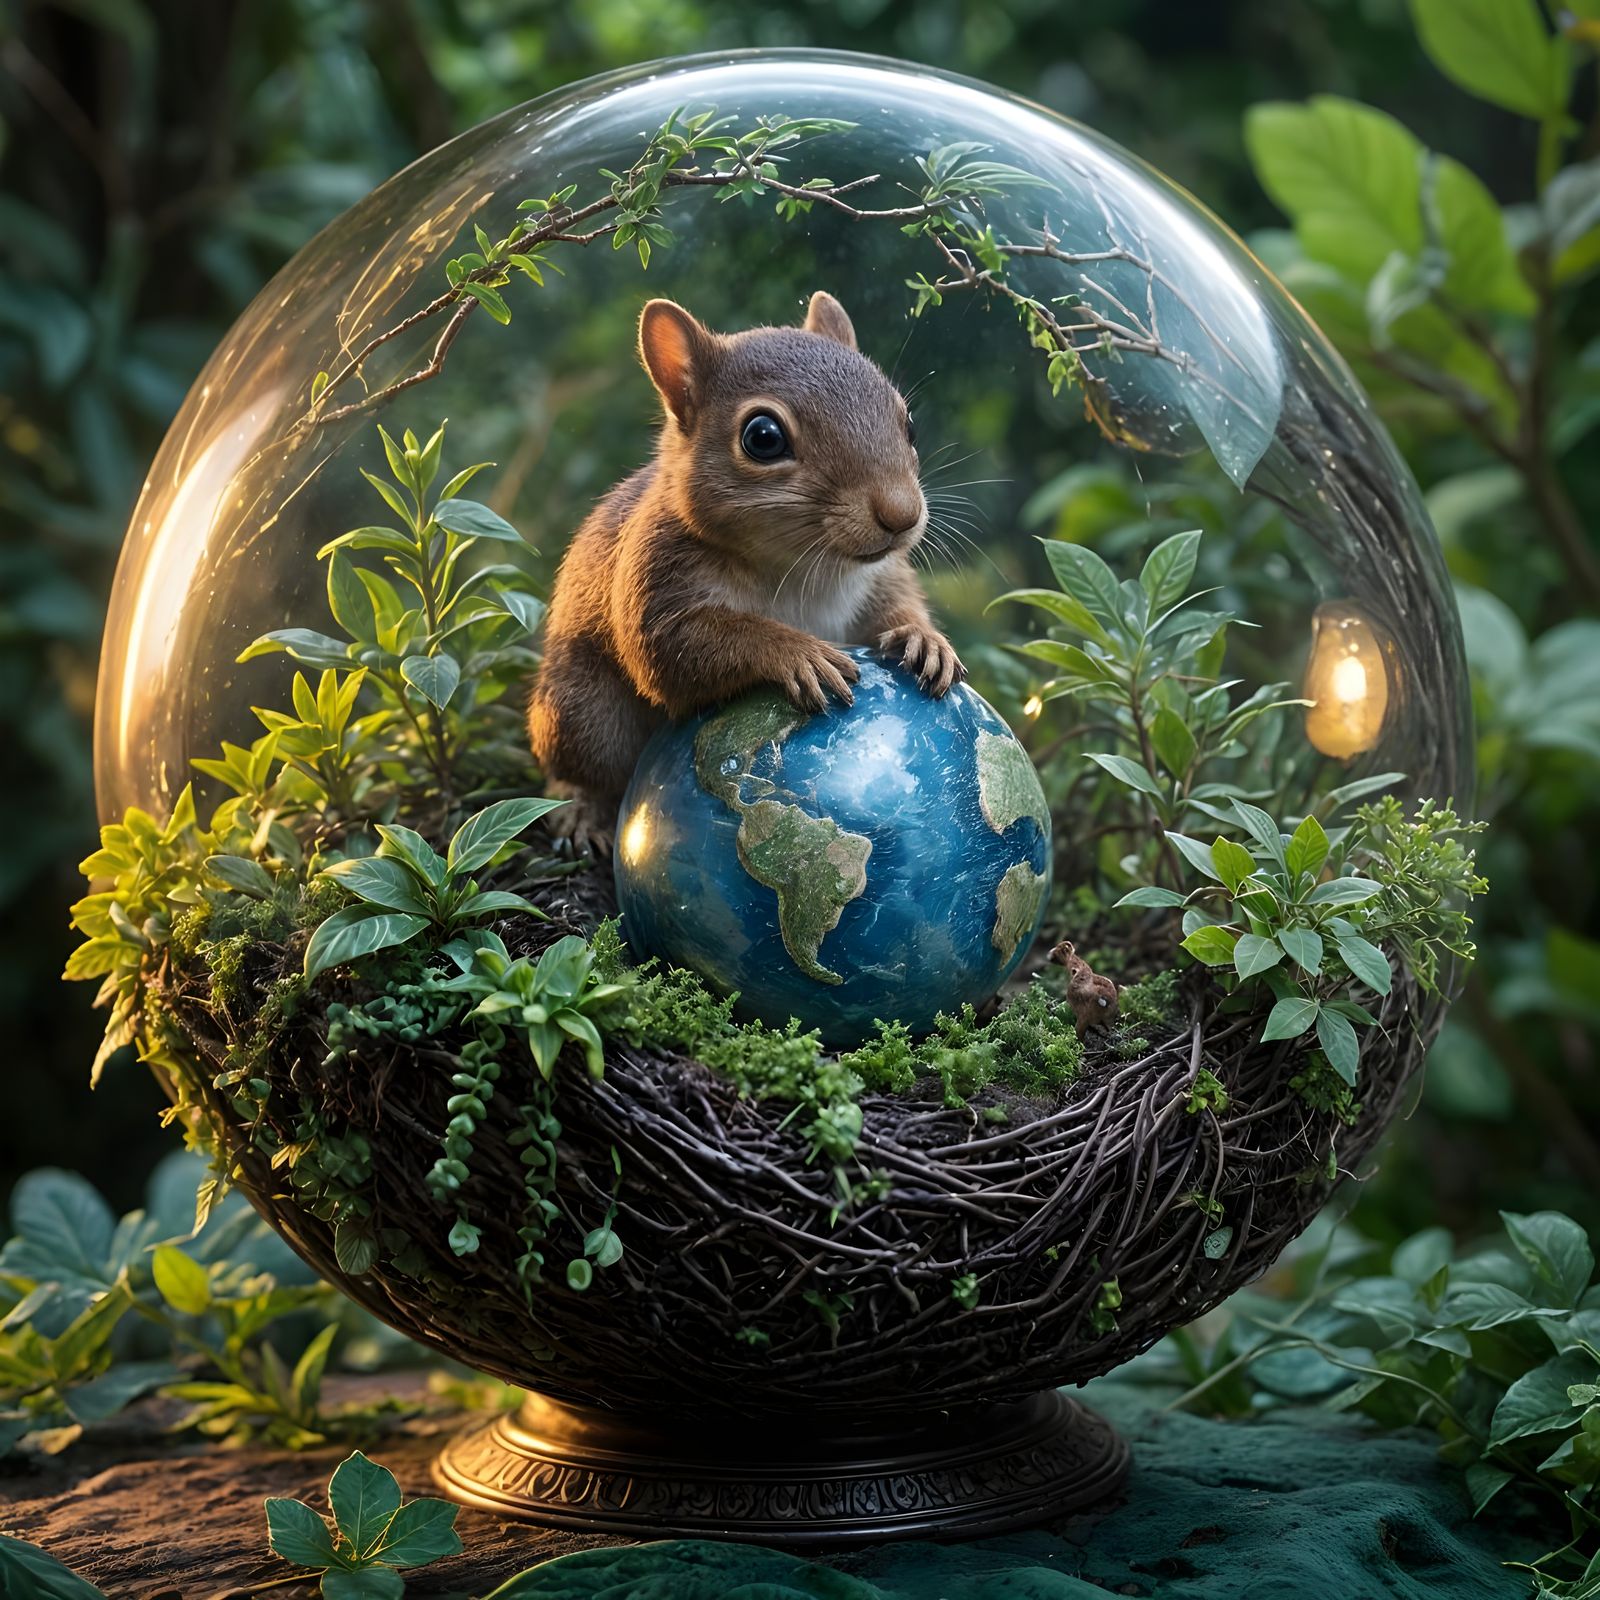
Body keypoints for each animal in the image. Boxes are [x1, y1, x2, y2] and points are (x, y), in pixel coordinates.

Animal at [526, 290, 964, 848]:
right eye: (763, 437)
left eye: (908, 422)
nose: (902, 515)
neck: (806, 565)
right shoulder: (656, 575)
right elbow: (673, 651)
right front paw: (794, 651)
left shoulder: (879, 578)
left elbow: (896, 607)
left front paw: (923, 638)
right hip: (585, 712)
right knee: (578, 769)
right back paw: (581, 809)